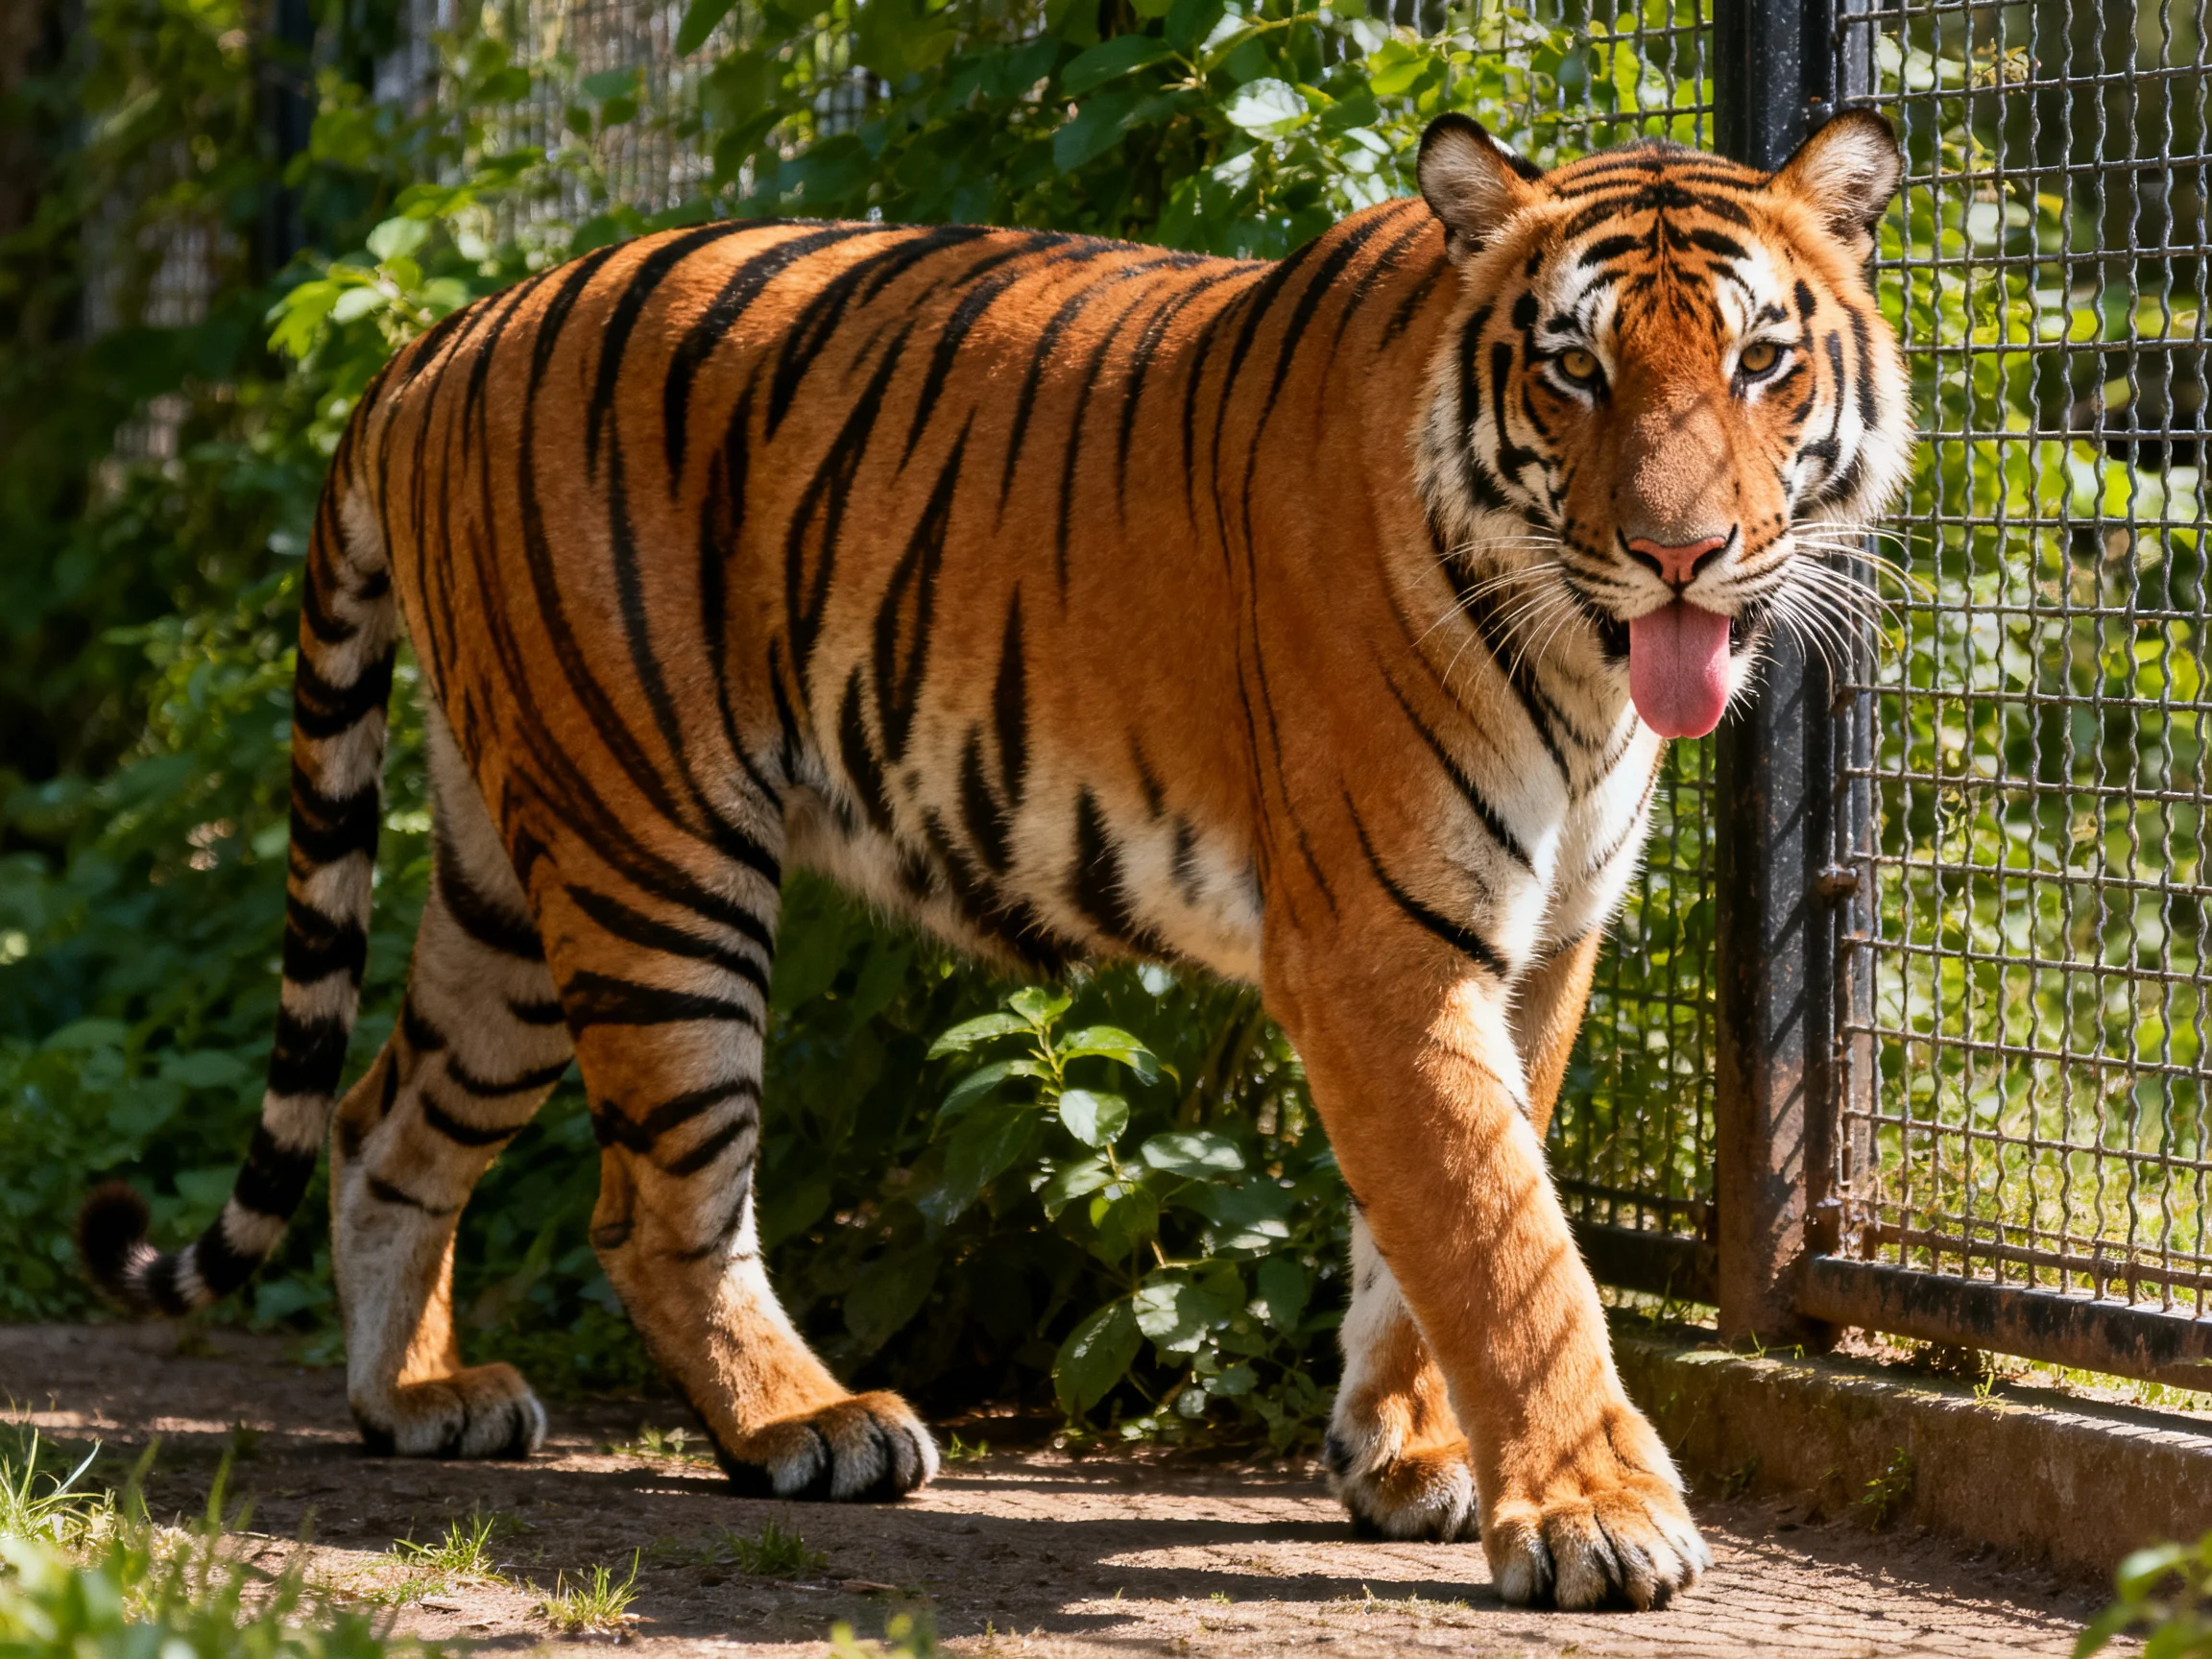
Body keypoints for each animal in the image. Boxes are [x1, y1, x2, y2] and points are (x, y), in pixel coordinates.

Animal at [78, 107, 1909, 1610]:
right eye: (1573, 370)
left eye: (1759, 362)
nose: (1680, 551)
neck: (1583, 667)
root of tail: (435, 337)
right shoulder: (1382, 946)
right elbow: (1505, 1242)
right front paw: (1596, 1514)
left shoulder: (1535, 944)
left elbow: (1436, 1228)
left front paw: (1407, 1457)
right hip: (652, 856)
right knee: (655, 1205)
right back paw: (809, 1423)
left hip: (509, 882)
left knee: (383, 1117)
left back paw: (414, 1398)